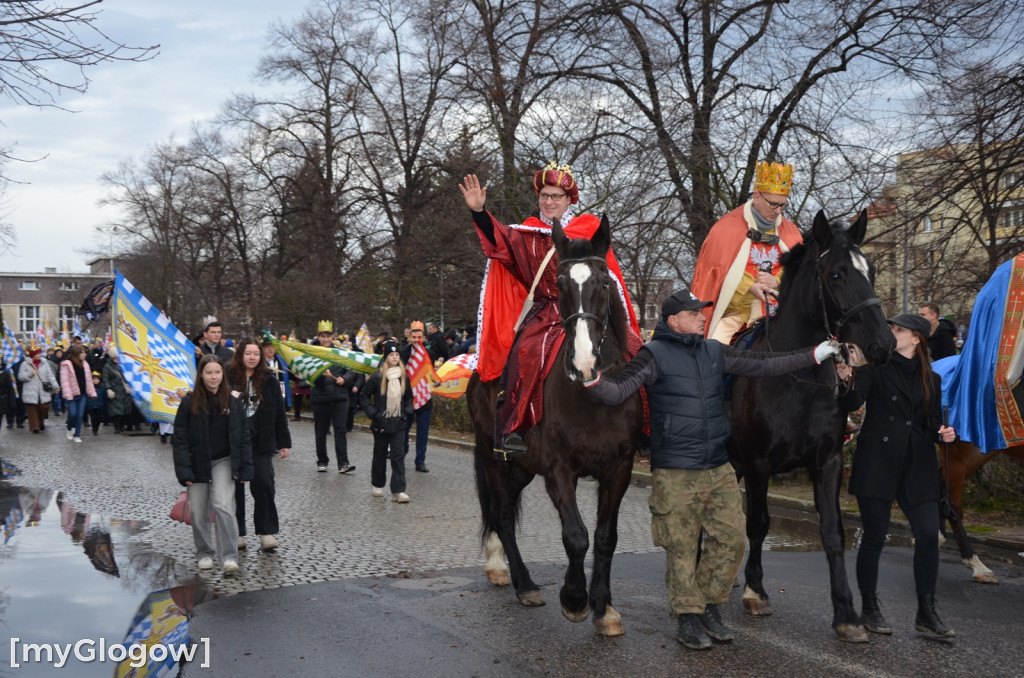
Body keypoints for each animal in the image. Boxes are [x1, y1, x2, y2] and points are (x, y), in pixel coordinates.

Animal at [466, 216, 638, 639]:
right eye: (559, 286)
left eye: (604, 283)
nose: (583, 364)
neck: (595, 396)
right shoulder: (560, 469)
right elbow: (575, 537)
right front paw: (575, 599)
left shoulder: (619, 470)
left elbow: (605, 538)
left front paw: (603, 607)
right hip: (492, 455)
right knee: (503, 515)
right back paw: (523, 582)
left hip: (523, 467)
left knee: (505, 509)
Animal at [733, 210, 892, 643]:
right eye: (836, 274)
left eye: (872, 270)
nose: (884, 344)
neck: (796, 372)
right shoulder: (757, 463)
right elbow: (759, 523)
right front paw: (756, 590)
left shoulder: (829, 461)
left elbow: (834, 532)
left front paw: (847, 613)